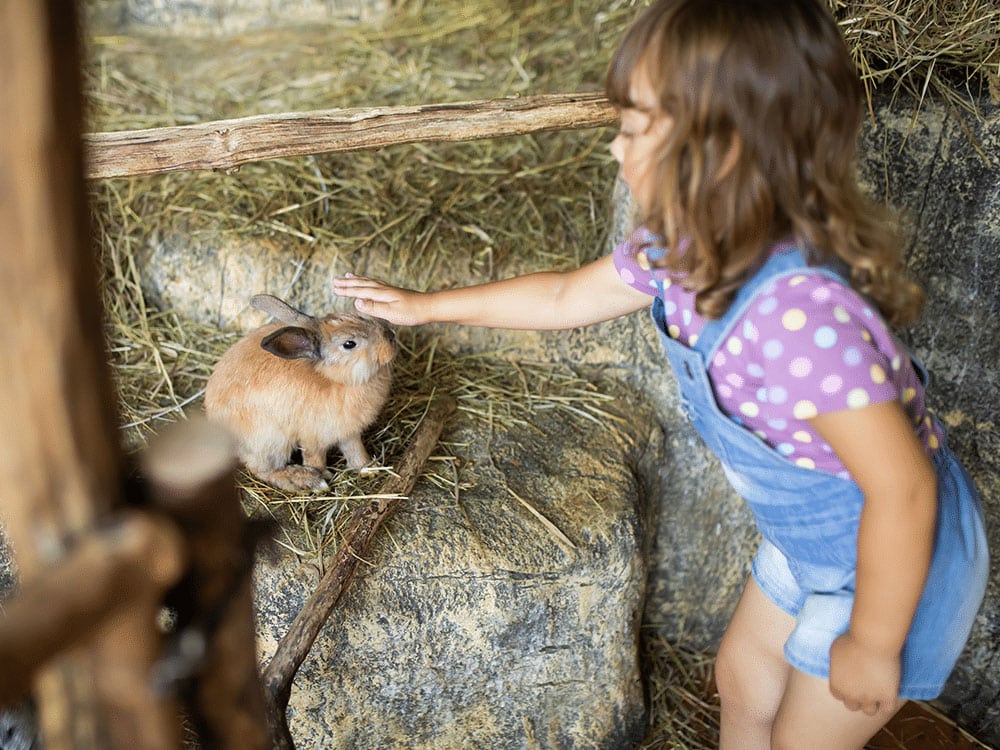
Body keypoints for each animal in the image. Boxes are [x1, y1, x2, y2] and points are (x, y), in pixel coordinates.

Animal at [205, 296, 396, 496]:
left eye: (359, 317)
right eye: (349, 344)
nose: (391, 336)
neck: (332, 378)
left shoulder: (348, 432)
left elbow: (355, 449)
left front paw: (369, 468)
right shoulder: (313, 436)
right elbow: (315, 458)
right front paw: (322, 477)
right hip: (271, 441)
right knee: (263, 469)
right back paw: (304, 480)